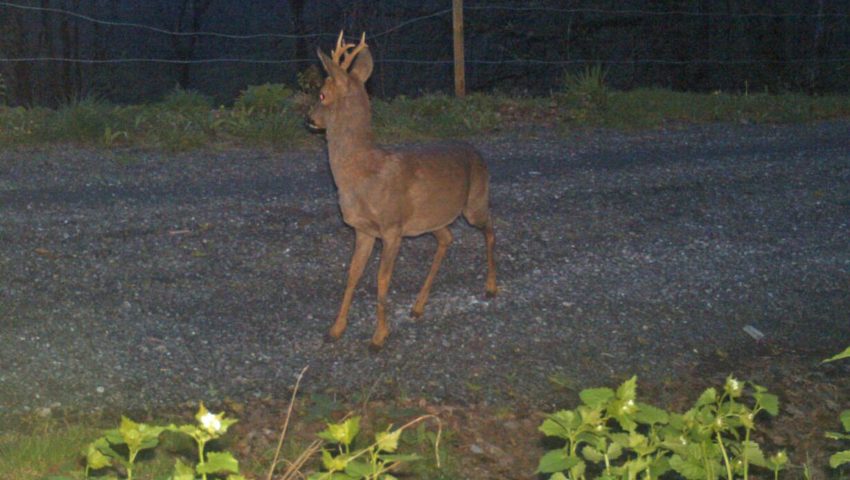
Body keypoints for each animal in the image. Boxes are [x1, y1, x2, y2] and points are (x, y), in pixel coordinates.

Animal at [304, 31, 494, 350]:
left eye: (322, 95)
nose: (308, 118)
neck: (360, 174)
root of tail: (478, 153)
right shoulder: (363, 229)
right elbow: (353, 274)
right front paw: (335, 329)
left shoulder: (391, 228)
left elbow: (382, 280)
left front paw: (379, 337)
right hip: (434, 219)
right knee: (448, 238)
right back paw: (418, 306)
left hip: (475, 203)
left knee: (490, 228)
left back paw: (491, 287)